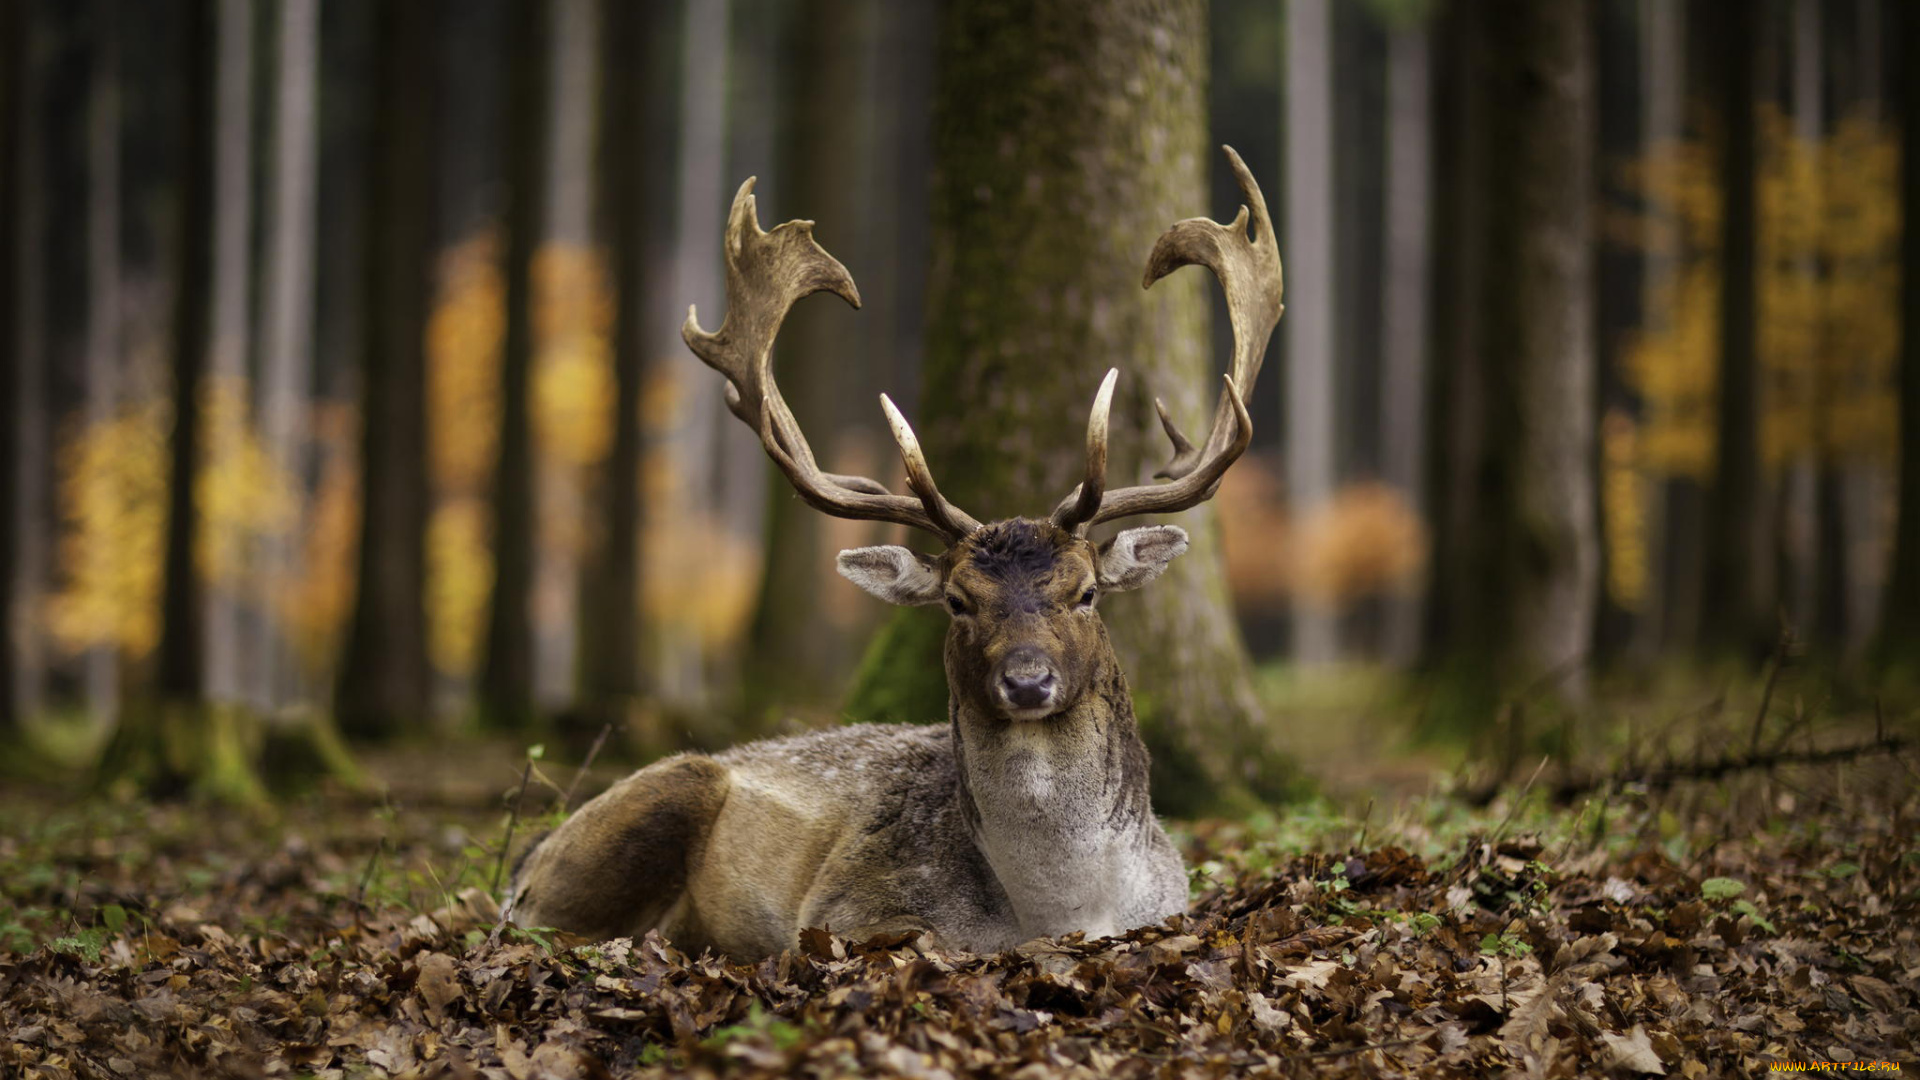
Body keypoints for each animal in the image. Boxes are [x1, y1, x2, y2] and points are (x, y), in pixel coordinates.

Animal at [514, 145, 1290, 957]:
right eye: (956, 600)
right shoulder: (847, 908)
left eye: (1086, 592)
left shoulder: (1172, 906)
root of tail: (525, 861)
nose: (1027, 682)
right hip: (657, 798)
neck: (1062, 910)